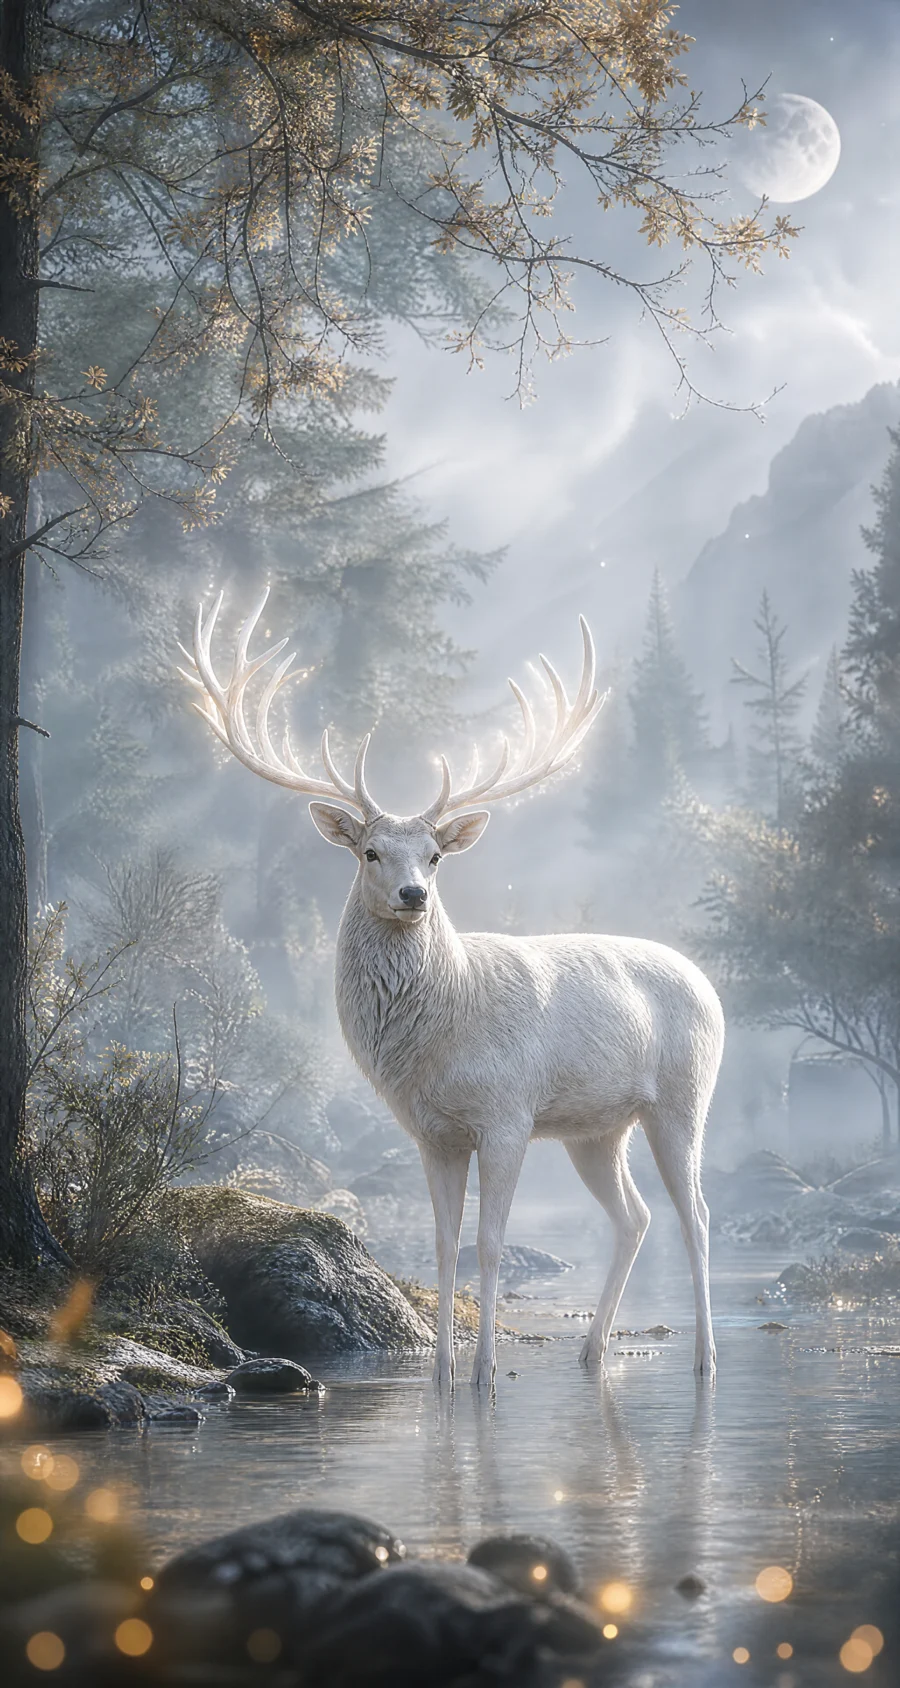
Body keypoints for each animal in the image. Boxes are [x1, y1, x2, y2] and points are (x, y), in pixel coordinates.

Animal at [180, 591, 725, 1393]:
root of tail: (708, 984)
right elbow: (442, 1247)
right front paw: (439, 1374)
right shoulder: (432, 1131)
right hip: (596, 1128)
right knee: (634, 1217)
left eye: (435, 855)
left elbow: (491, 1242)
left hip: (682, 1098)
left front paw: (484, 1375)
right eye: (370, 851)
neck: (441, 1033)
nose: (413, 895)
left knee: (697, 1216)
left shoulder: (507, 1112)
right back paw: (592, 1351)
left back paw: (705, 1360)